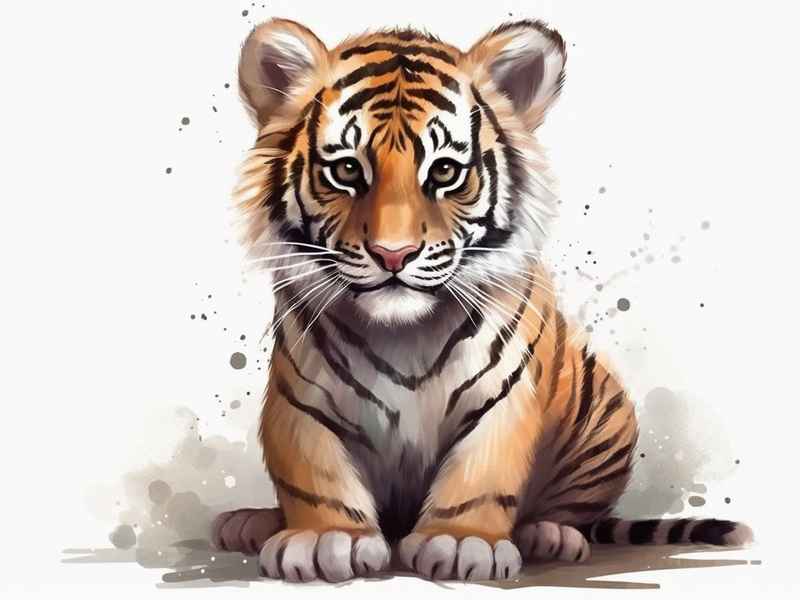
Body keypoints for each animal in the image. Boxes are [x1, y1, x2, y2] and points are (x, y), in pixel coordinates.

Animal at [211, 18, 753, 582]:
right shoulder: (301, 399)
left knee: (572, 511)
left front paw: (459, 541)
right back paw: (248, 522)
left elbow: (481, 473)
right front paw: (327, 537)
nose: (392, 254)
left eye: (445, 172)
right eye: (347, 171)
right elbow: (314, 472)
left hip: (607, 413)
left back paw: (550, 535)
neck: (404, 335)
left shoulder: (504, 396)